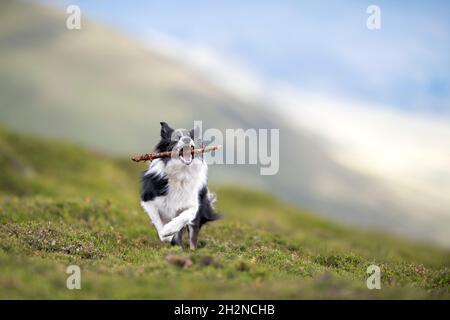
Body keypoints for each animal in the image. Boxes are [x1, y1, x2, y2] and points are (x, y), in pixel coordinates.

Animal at [139, 121, 220, 249]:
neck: (181, 173)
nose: (187, 139)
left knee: (192, 237)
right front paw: (166, 235)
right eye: (177, 138)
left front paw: (169, 230)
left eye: (191, 137)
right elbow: (158, 221)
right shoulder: (148, 200)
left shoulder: (193, 204)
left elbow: (184, 216)